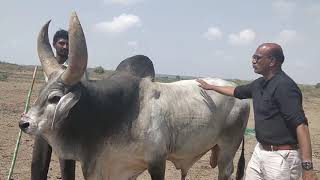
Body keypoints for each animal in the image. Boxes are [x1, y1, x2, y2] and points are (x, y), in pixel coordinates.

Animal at [19, 13, 250, 180]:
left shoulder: (157, 161)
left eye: (55, 98)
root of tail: (237, 91)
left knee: (225, 171)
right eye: (41, 92)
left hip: (228, 148)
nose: (24, 123)